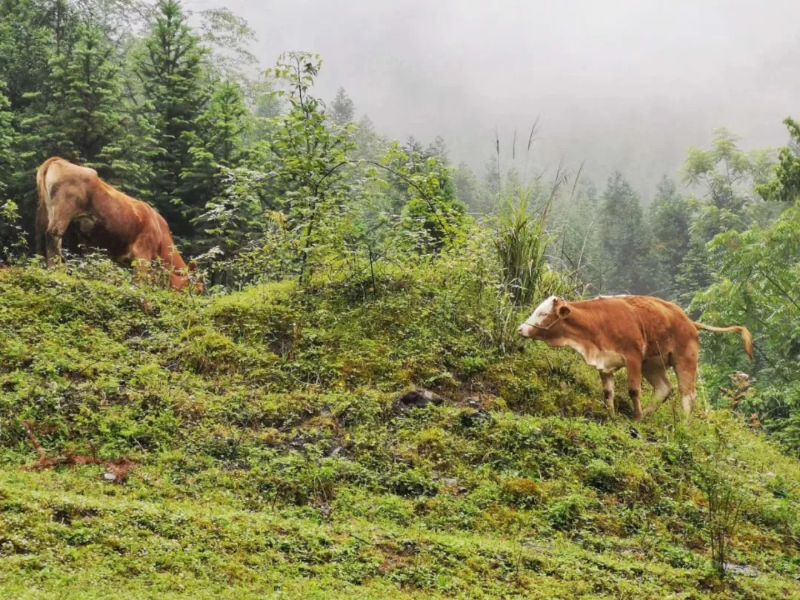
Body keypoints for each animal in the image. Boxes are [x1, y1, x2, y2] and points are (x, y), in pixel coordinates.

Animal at [35, 157, 201, 292]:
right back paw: (57, 272)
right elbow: (140, 283)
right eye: (196, 289)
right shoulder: (142, 253)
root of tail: (59, 160)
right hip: (64, 210)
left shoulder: (117, 258)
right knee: (54, 236)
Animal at [517, 295, 752, 420]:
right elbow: (608, 392)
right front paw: (612, 415)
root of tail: (689, 321)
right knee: (664, 388)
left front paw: (636, 416)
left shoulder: (633, 357)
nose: (521, 329)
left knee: (688, 395)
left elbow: (633, 390)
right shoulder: (605, 363)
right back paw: (647, 414)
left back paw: (682, 424)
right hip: (653, 363)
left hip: (685, 359)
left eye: (542, 314)